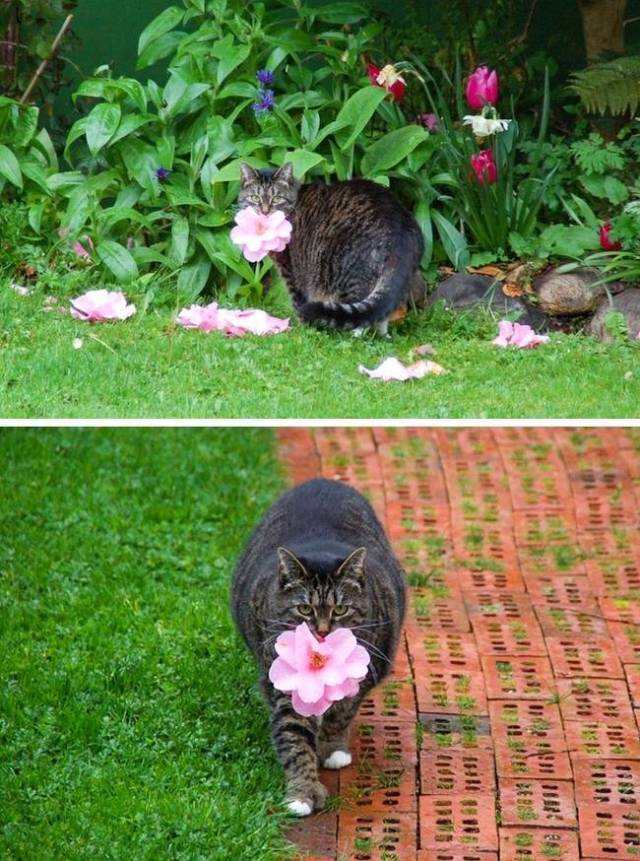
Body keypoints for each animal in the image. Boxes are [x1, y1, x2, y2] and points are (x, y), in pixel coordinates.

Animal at [232, 474, 408, 816]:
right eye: (304, 610)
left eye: (340, 609)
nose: (323, 632)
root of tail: (321, 480)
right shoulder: (284, 684)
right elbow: (295, 737)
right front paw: (302, 792)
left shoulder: (366, 669)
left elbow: (342, 712)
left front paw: (331, 748)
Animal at [238, 161, 428, 332]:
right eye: (255, 198)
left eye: (277, 198)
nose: (265, 211)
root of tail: (399, 226)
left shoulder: (290, 270)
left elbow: (298, 301)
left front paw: (303, 329)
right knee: (380, 310)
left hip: (346, 275)